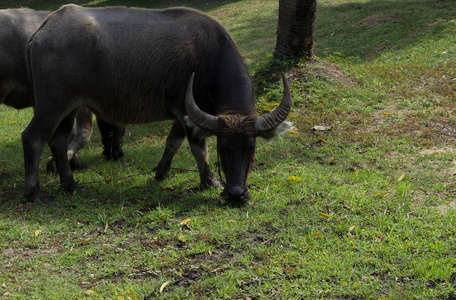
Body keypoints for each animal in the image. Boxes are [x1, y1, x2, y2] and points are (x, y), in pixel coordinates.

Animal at [24, 5, 292, 204]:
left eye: (251, 148)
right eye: (223, 148)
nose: (236, 193)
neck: (212, 59)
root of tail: (43, 29)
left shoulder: (185, 115)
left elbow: (173, 142)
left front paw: (160, 172)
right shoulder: (189, 112)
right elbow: (199, 149)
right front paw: (209, 181)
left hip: (69, 108)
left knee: (59, 141)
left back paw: (70, 185)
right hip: (52, 105)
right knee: (33, 138)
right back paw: (35, 193)